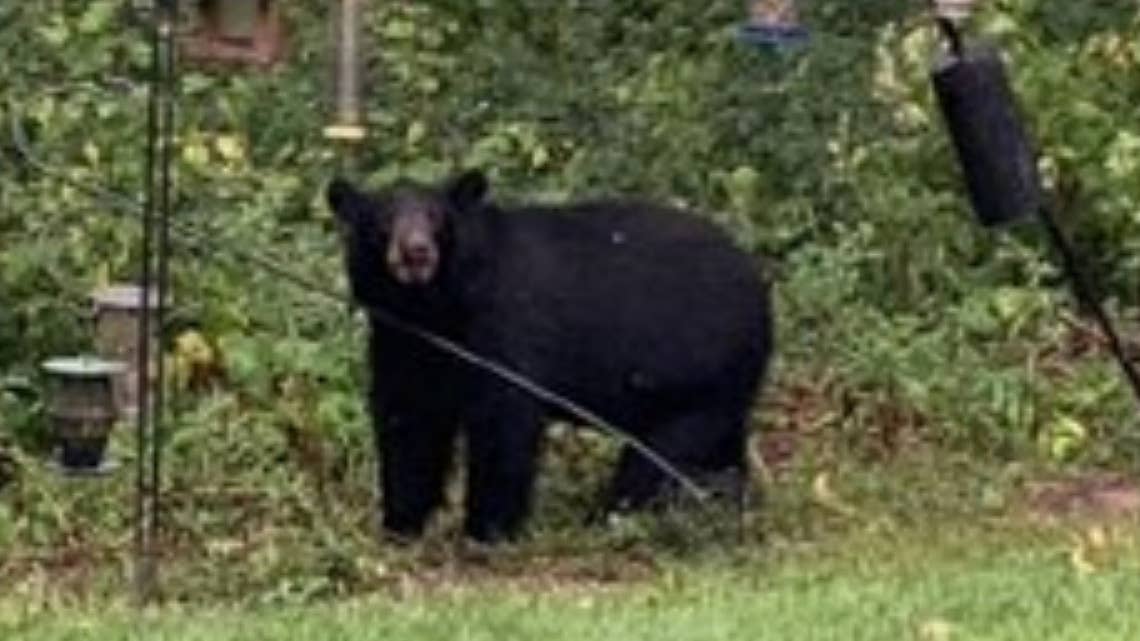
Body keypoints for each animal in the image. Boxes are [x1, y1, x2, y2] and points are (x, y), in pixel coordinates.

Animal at [327, 169, 774, 544]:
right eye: (383, 222)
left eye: (436, 218)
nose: (416, 251)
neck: (434, 309)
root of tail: (759, 283)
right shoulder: (402, 342)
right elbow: (408, 423)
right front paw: (401, 524)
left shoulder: (504, 329)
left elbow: (503, 423)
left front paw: (485, 530)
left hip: (700, 372)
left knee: (662, 455)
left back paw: (611, 516)